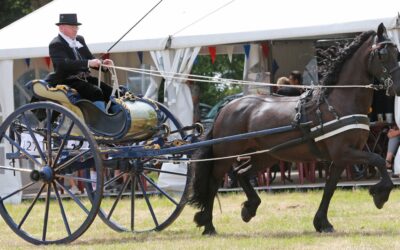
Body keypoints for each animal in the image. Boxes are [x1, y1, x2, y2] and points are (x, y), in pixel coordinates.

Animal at [188, 23, 400, 234]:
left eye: (397, 52)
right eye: (382, 54)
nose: (397, 87)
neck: (337, 102)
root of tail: (226, 108)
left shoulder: (341, 158)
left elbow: (330, 188)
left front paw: (322, 223)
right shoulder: (344, 152)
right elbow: (379, 160)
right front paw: (380, 195)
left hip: (266, 155)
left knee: (241, 172)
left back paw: (249, 207)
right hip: (225, 155)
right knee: (213, 183)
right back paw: (208, 225)